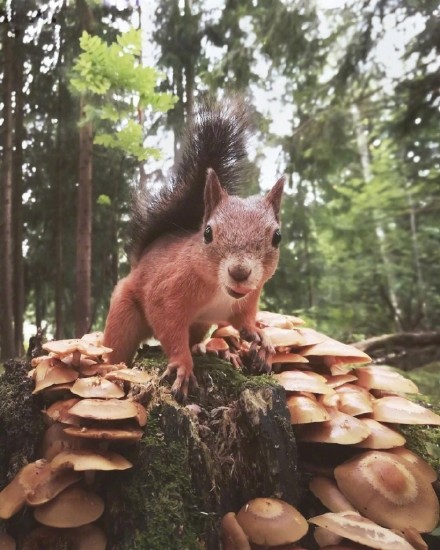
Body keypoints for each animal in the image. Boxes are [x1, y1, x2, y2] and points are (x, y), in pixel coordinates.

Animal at [105, 99, 288, 398]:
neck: (219, 290)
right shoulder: (166, 294)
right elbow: (169, 327)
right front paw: (182, 365)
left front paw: (260, 335)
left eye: (277, 237)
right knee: (117, 346)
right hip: (123, 316)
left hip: (200, 326)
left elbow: (244, 322)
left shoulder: (246, 301)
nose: (239, 272)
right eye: (208, 232)